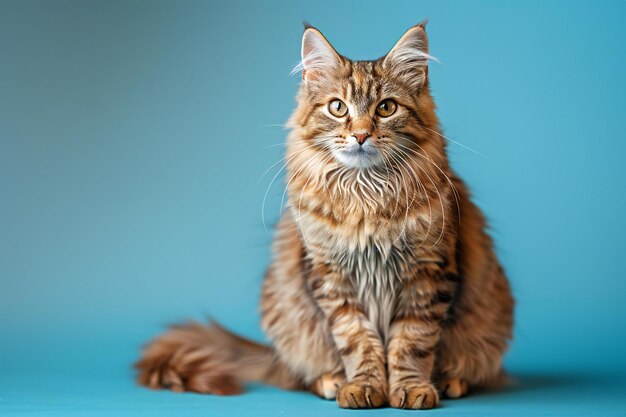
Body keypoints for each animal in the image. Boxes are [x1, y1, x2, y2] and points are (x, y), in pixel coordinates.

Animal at [135, 22, 512, 410]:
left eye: (386, 108)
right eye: (337, 107)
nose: (360, 134)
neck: (365, 194)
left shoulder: (427, 272)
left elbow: (412, 341)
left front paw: (411, 388)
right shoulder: (331, 278)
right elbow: (358, 342)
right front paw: (362, 387)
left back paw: (452, 381)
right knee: (303, 373)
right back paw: (330, 380)